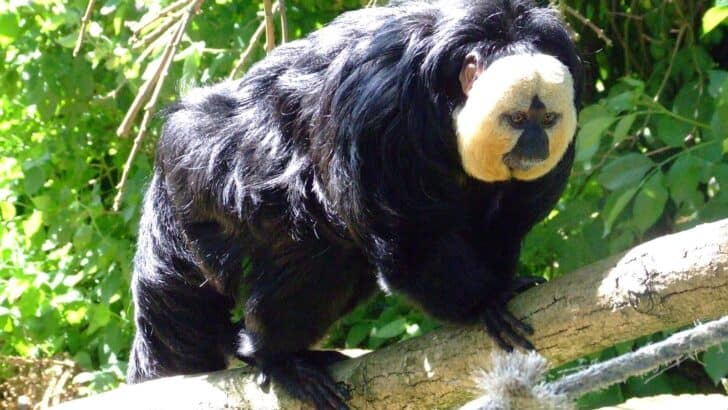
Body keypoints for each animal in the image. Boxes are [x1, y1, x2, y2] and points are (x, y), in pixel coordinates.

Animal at [127, 1, 582, 409]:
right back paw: (276, 356)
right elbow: (411, 249)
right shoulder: (380, 111)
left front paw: (503, 283)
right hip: (210, 180)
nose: (537, 146)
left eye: (547, 121)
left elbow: (501, 227)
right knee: (319, 250)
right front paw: (485, 301)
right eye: (519, 120)